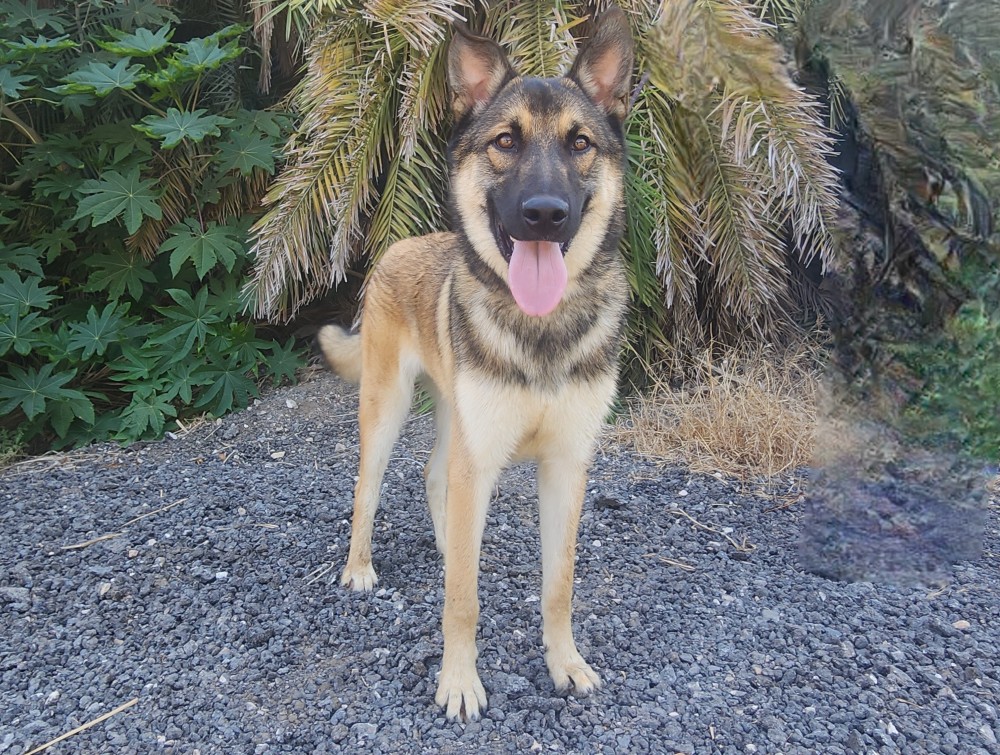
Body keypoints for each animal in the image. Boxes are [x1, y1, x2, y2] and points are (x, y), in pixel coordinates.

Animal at [318, 6, 634, 722]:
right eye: (505, 141)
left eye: (579, 143)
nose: (544, 215)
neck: (540, 329)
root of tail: (397, 246)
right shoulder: (479, 454)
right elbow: (463, 599)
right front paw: (459, 682)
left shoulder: (565, 467)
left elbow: (558, 585)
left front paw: (565, 664)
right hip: (387, 411)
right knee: (367, 491)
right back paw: (359, 568)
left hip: (451, 419)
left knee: (436, 479)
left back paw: (443, 545)